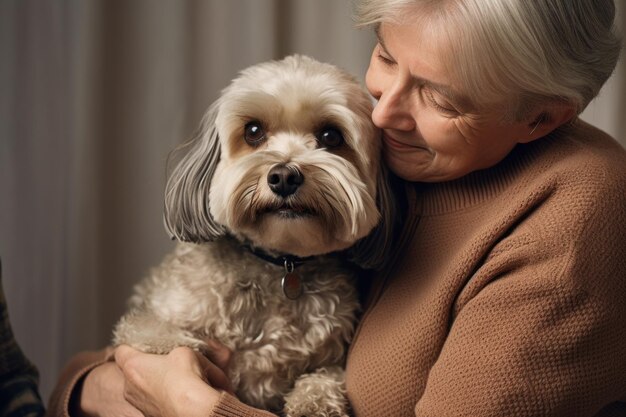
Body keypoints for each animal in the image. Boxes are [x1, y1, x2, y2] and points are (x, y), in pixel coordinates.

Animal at [112, 55, 394, 416]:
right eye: (254, 131)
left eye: (331, 136)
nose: (284, 176)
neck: (280, 265)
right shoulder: (147, 320)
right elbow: (158, 337)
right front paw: (187, 346)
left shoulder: (330, 358)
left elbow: (325, 378)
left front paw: (312, 403)